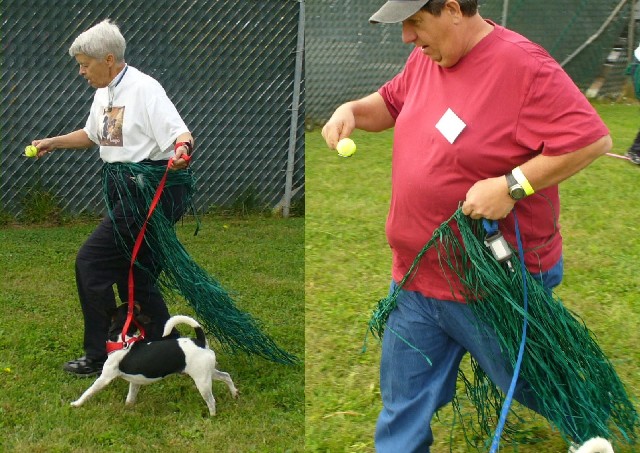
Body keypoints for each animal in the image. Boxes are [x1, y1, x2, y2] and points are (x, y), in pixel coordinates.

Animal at [70, 306, 239, 414]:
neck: (122, 340)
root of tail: (200, 341)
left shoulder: (105, 378)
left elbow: (88, 392)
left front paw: (76, 404)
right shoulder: (135, 382)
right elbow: (130, 397)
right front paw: (128, 408)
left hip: (202, 380)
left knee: (211, 400)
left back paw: (212, 416)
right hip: (207, 372)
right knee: (226, 376)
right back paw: (235, 394)